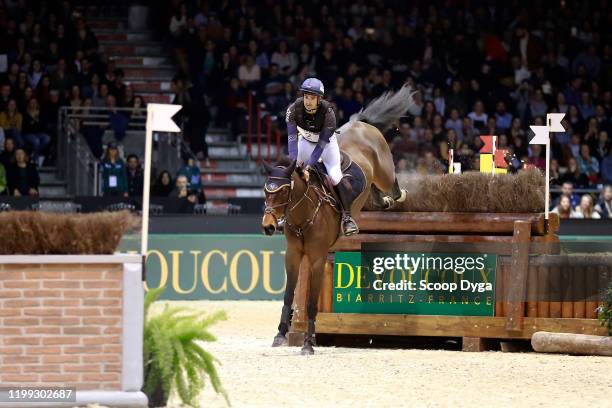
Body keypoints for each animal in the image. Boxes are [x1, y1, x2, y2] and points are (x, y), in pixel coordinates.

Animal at [260, 85, 414, 354]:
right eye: (266, 192)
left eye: (284, 191)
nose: (268, 226)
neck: (303, 215)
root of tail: (360, 123)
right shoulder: (293, 255)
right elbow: (289, 294)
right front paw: (280, 334)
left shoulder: (318, 257)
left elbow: (312, 302)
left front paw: (308, 344)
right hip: (369, 180)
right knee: (372, 193)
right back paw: (382, 202)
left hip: (384, 170)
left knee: (391, 187)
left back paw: (399, 195)